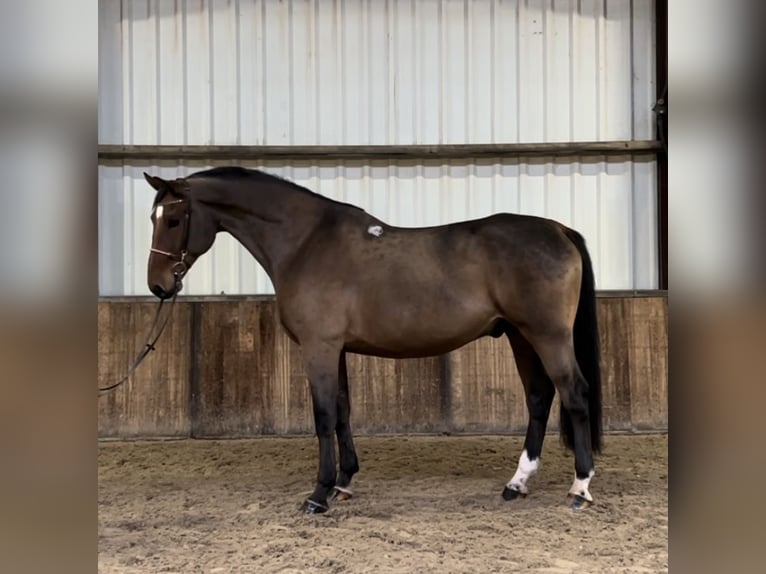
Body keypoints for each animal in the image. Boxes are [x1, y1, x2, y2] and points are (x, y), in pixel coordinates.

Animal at [141, 165, 604, 512]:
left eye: (175, 219)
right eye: (153, 218)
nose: (159, 285)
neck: (306, 242)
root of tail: (558, 229)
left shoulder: (320, 348)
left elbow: (324, 415)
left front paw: (318, 495)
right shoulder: (336, 350)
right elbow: (343, 411)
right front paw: (344, 482)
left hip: (547, 335)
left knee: (574, 394)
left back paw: (580, 489)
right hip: (520, 336)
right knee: (540, 398)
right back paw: (517, 484)